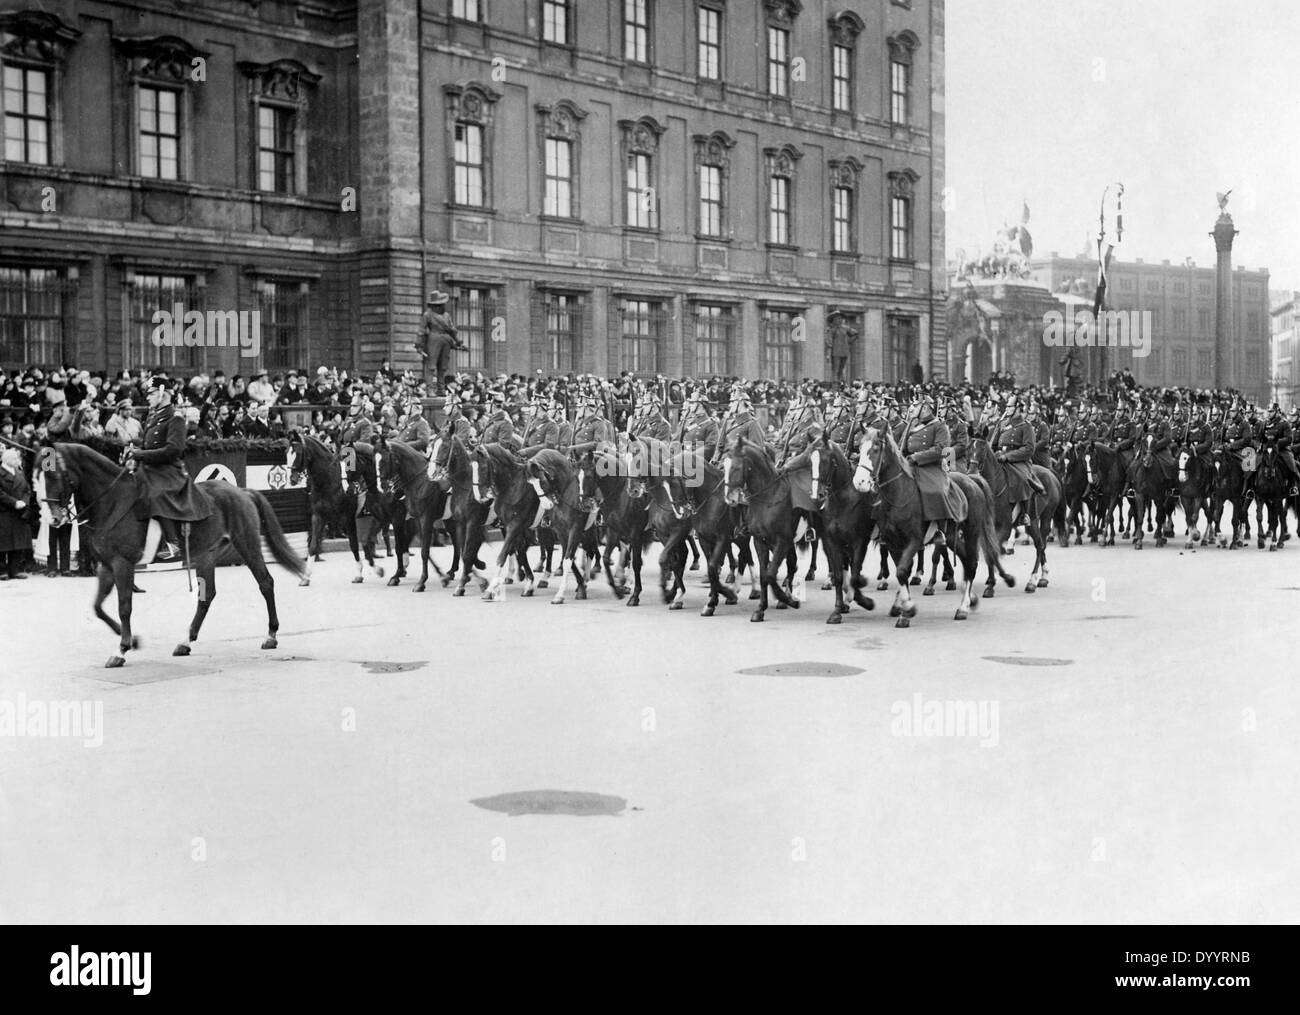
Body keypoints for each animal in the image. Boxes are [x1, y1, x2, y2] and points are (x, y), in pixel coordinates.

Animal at [41, 441, 306, 665]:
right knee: (207, 596)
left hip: (247, 545)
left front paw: (121, 649)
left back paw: (271, 636)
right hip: (206, 555)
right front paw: (132, 641)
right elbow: (98, 607)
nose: (54, 519)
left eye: (55, 474)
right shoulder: (106, 565)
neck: (113, 502)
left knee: (266, 583)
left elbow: (124, 606)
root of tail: (242, 491)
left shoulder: (122, 563)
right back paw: (185, 642)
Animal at [852, 428, 1013, 626]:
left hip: (971, 532)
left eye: (875, 449)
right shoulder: (892, 542)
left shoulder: (914, 540)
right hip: (951, 536)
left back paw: (963, 607)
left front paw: (907, 610)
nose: (859, 482)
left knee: (973, 563)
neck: (900, 492)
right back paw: (970, 599)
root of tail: (972, 479)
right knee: (966, 561)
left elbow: (902, 571)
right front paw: (902, 606)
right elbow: (901, 572)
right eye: (860, 448)